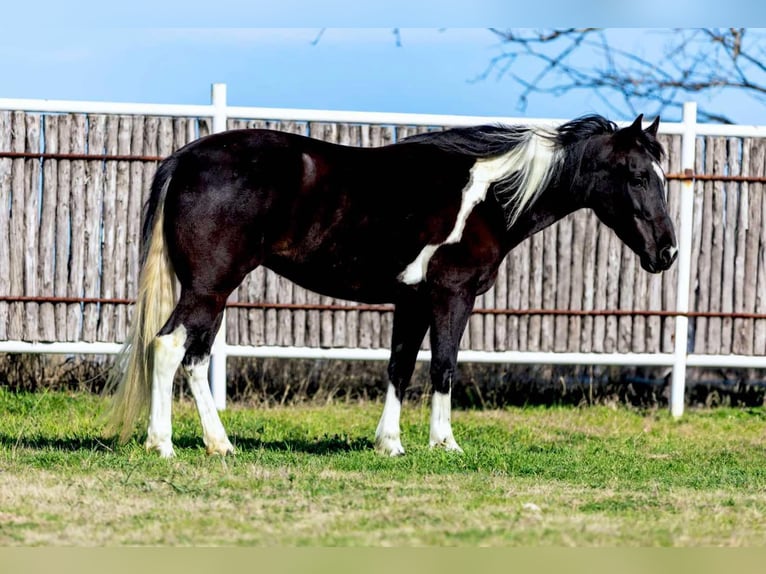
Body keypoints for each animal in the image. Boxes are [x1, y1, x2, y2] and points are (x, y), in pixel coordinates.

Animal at [106, 115, 680, 462]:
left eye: (660, 175)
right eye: (636, 174)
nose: (667, 252)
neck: (490, 196)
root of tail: (187, 158)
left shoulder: (412, 301)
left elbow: (399, 368)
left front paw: (390, 443)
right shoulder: (452, 296)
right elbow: (444, 367)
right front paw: (445, 443)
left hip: (214, 292)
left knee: (194, 358)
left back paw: (219, 445)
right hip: (209, 288)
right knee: (169, 347)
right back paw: (165, 445)